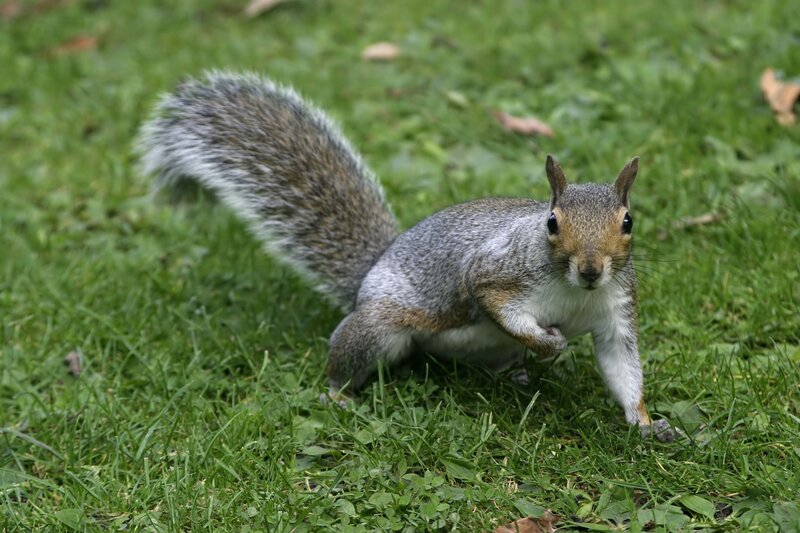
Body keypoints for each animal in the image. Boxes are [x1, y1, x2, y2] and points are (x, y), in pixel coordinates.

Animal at [138, 71, 675, 441]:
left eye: (628, 223)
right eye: (552, 222)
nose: (591, 269)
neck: (573, 292)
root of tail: (368, 275)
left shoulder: (615, 312)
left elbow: (622, 368)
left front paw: (646, 423)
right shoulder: (494, 272)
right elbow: (495, 304)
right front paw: (549, 343)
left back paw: (519, 376)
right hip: (378, 329)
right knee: (349, 358)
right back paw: (338, 395)